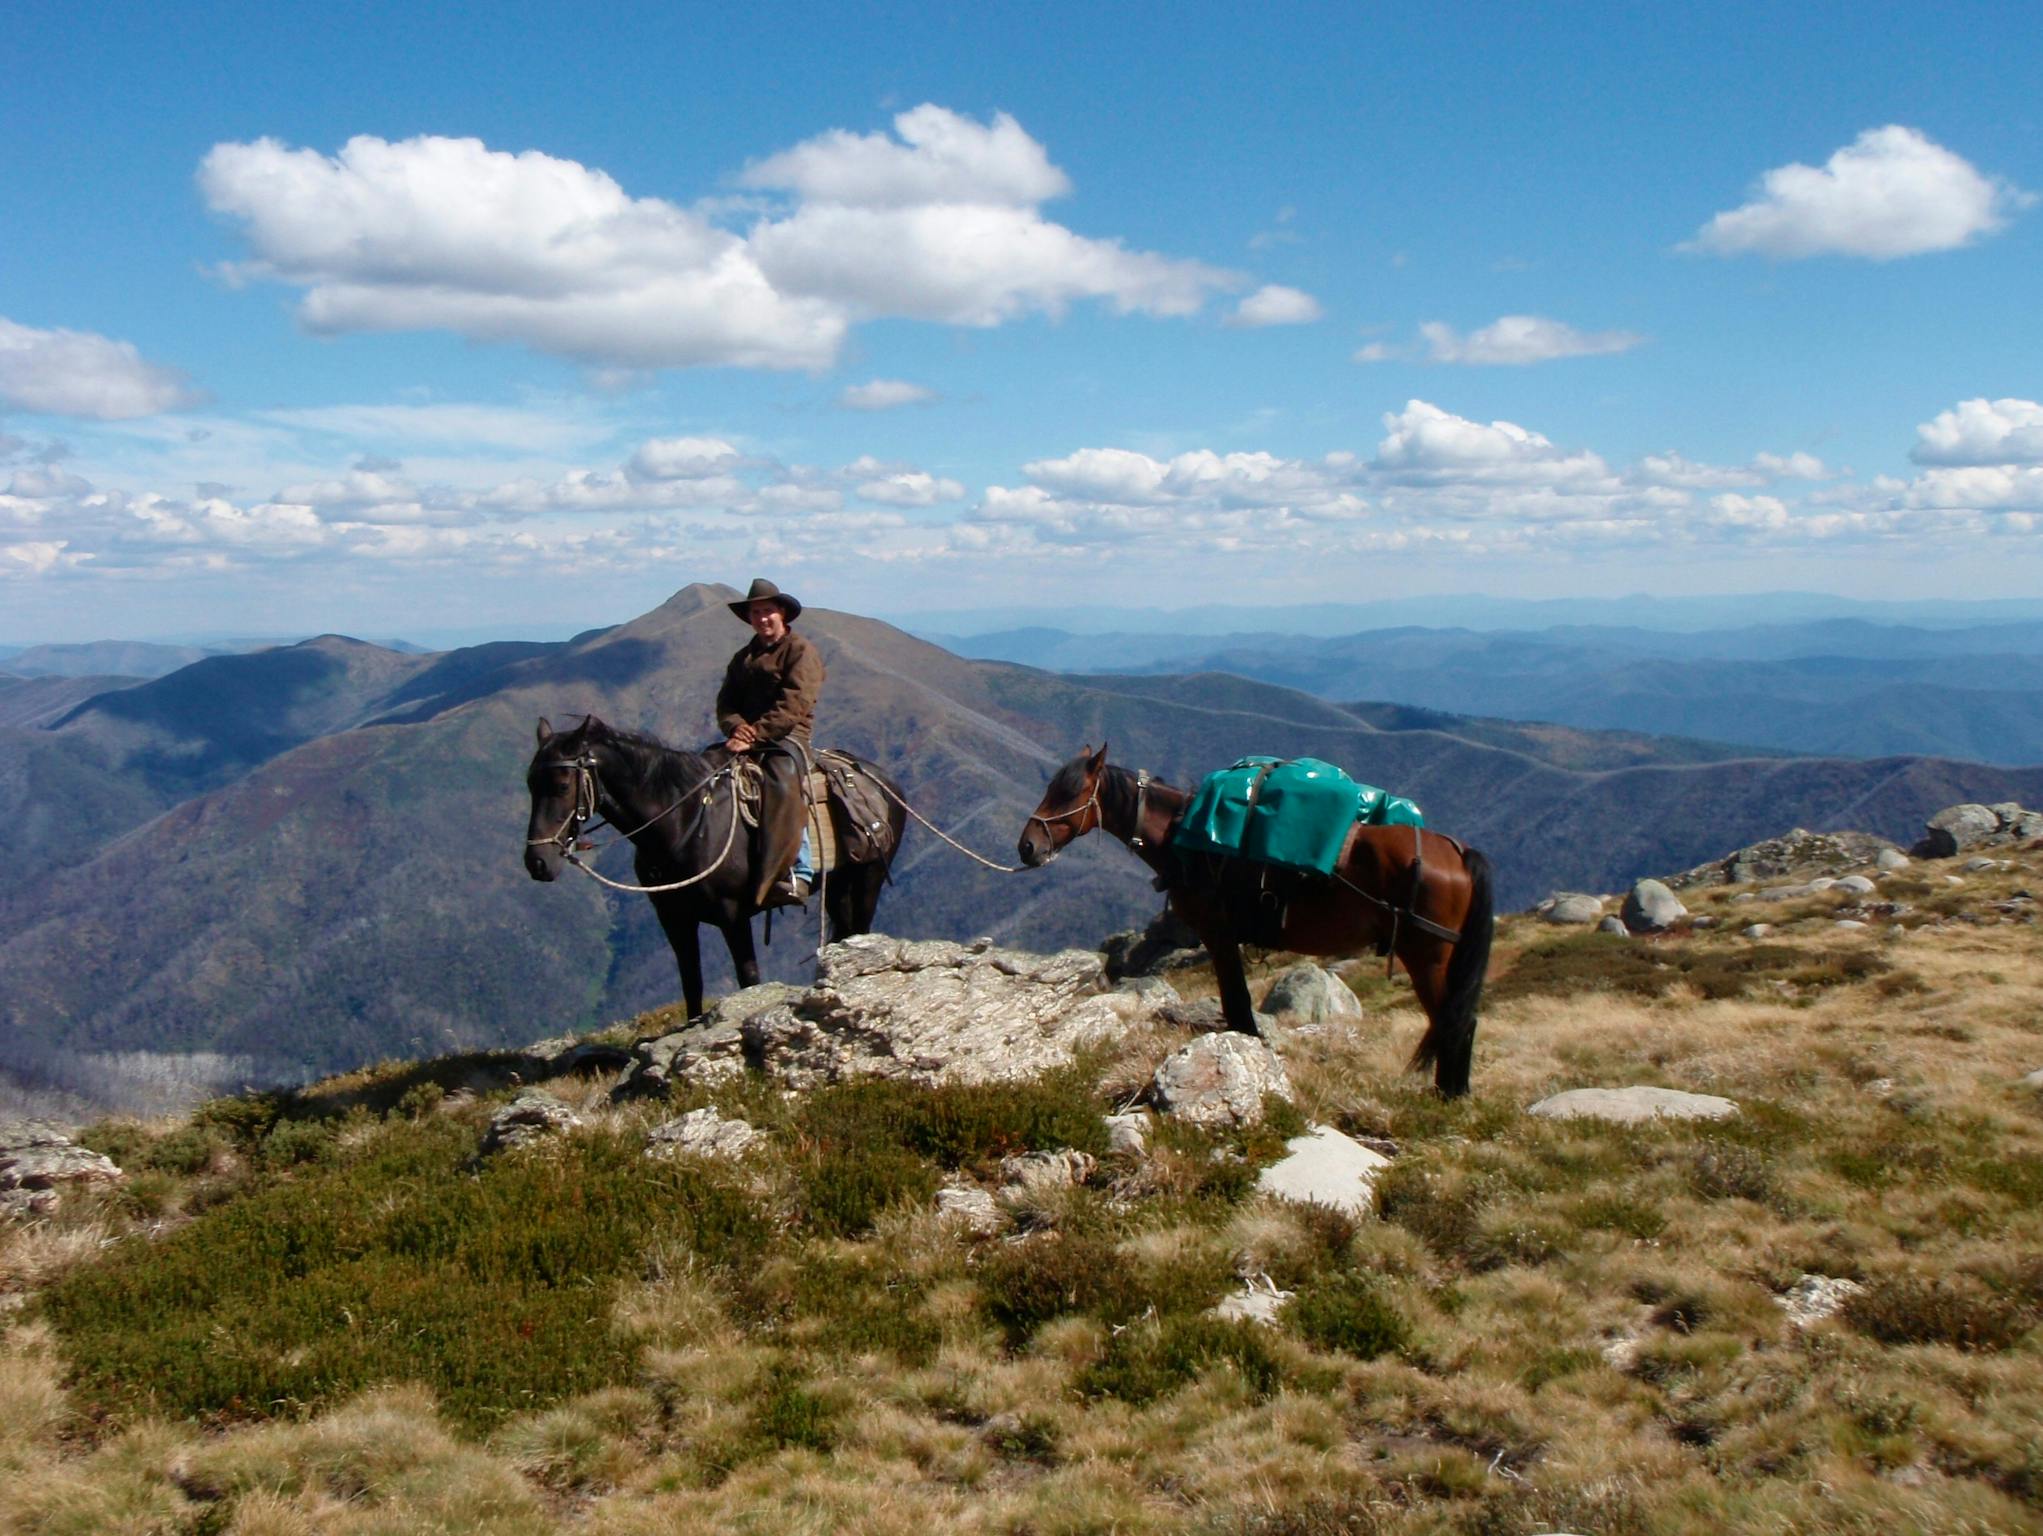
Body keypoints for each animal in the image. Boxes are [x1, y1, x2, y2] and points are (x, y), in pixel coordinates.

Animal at [523, 718, 907, 1021]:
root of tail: (881, 779)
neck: (686, 822)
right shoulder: (674, 919)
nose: (537, 862)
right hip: (839, 885)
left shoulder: (732, 915)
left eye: (562, 785)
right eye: (529, 785)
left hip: (869, 880)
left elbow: (748, 977)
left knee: (860, 929)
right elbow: (691, 980)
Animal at [1013, 747, 1495, 1094]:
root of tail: (1456, 851)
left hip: (1426, 955)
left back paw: (1449, 1097)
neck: (1184, 836)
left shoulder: (1218, 934)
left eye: (1069, 794)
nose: (1027, 847)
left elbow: (1237, 1004)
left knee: (1455, 1021)